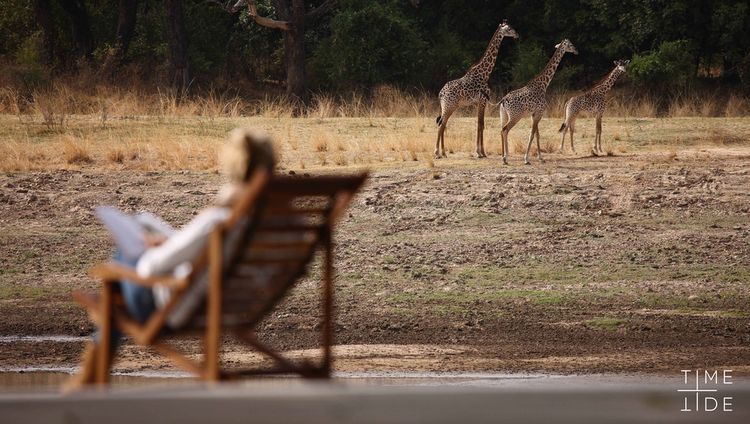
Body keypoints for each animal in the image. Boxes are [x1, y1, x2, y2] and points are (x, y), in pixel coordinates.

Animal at [438, 19, 520, 159]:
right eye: (509, 29)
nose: (517, 35)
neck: (485, 73)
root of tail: (441, 93)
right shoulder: (483, 101)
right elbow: (481, 125)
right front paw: (480, 152)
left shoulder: (478, 103)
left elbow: (479, 124)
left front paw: (480, 152)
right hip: (450, 106)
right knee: (442, 125)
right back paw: (438, 152)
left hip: (446, 106)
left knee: (442, 124)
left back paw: (442, 152)